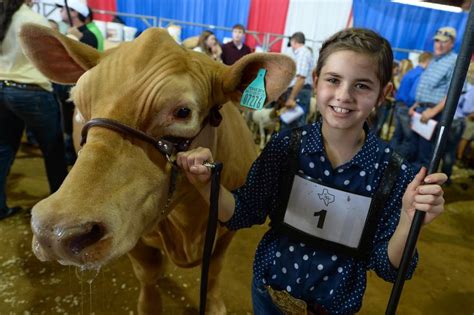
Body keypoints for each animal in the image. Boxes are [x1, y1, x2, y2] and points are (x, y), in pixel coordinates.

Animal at [20, 23, 296, 314]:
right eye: (78, 104)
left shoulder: (227, 232)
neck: (189, 221)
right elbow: (148, 276)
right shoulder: (135, 234)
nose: (54, 232)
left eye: (183, 112)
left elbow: (214, 271)